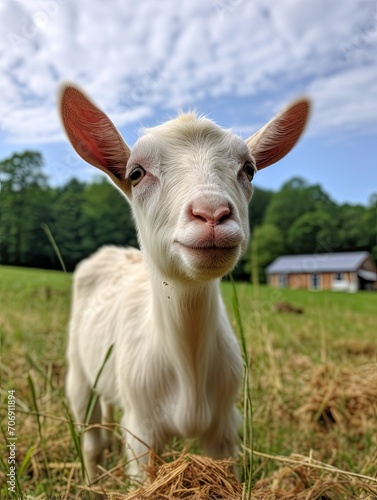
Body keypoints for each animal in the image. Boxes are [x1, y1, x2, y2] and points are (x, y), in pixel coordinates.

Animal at [59, 84, 308, 482]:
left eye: (249, 170)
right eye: (136, 173)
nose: (212, 213)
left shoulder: (225, 427)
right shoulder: (141, 431)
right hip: (80, 373)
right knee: (92, 439)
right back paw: (92, 483)